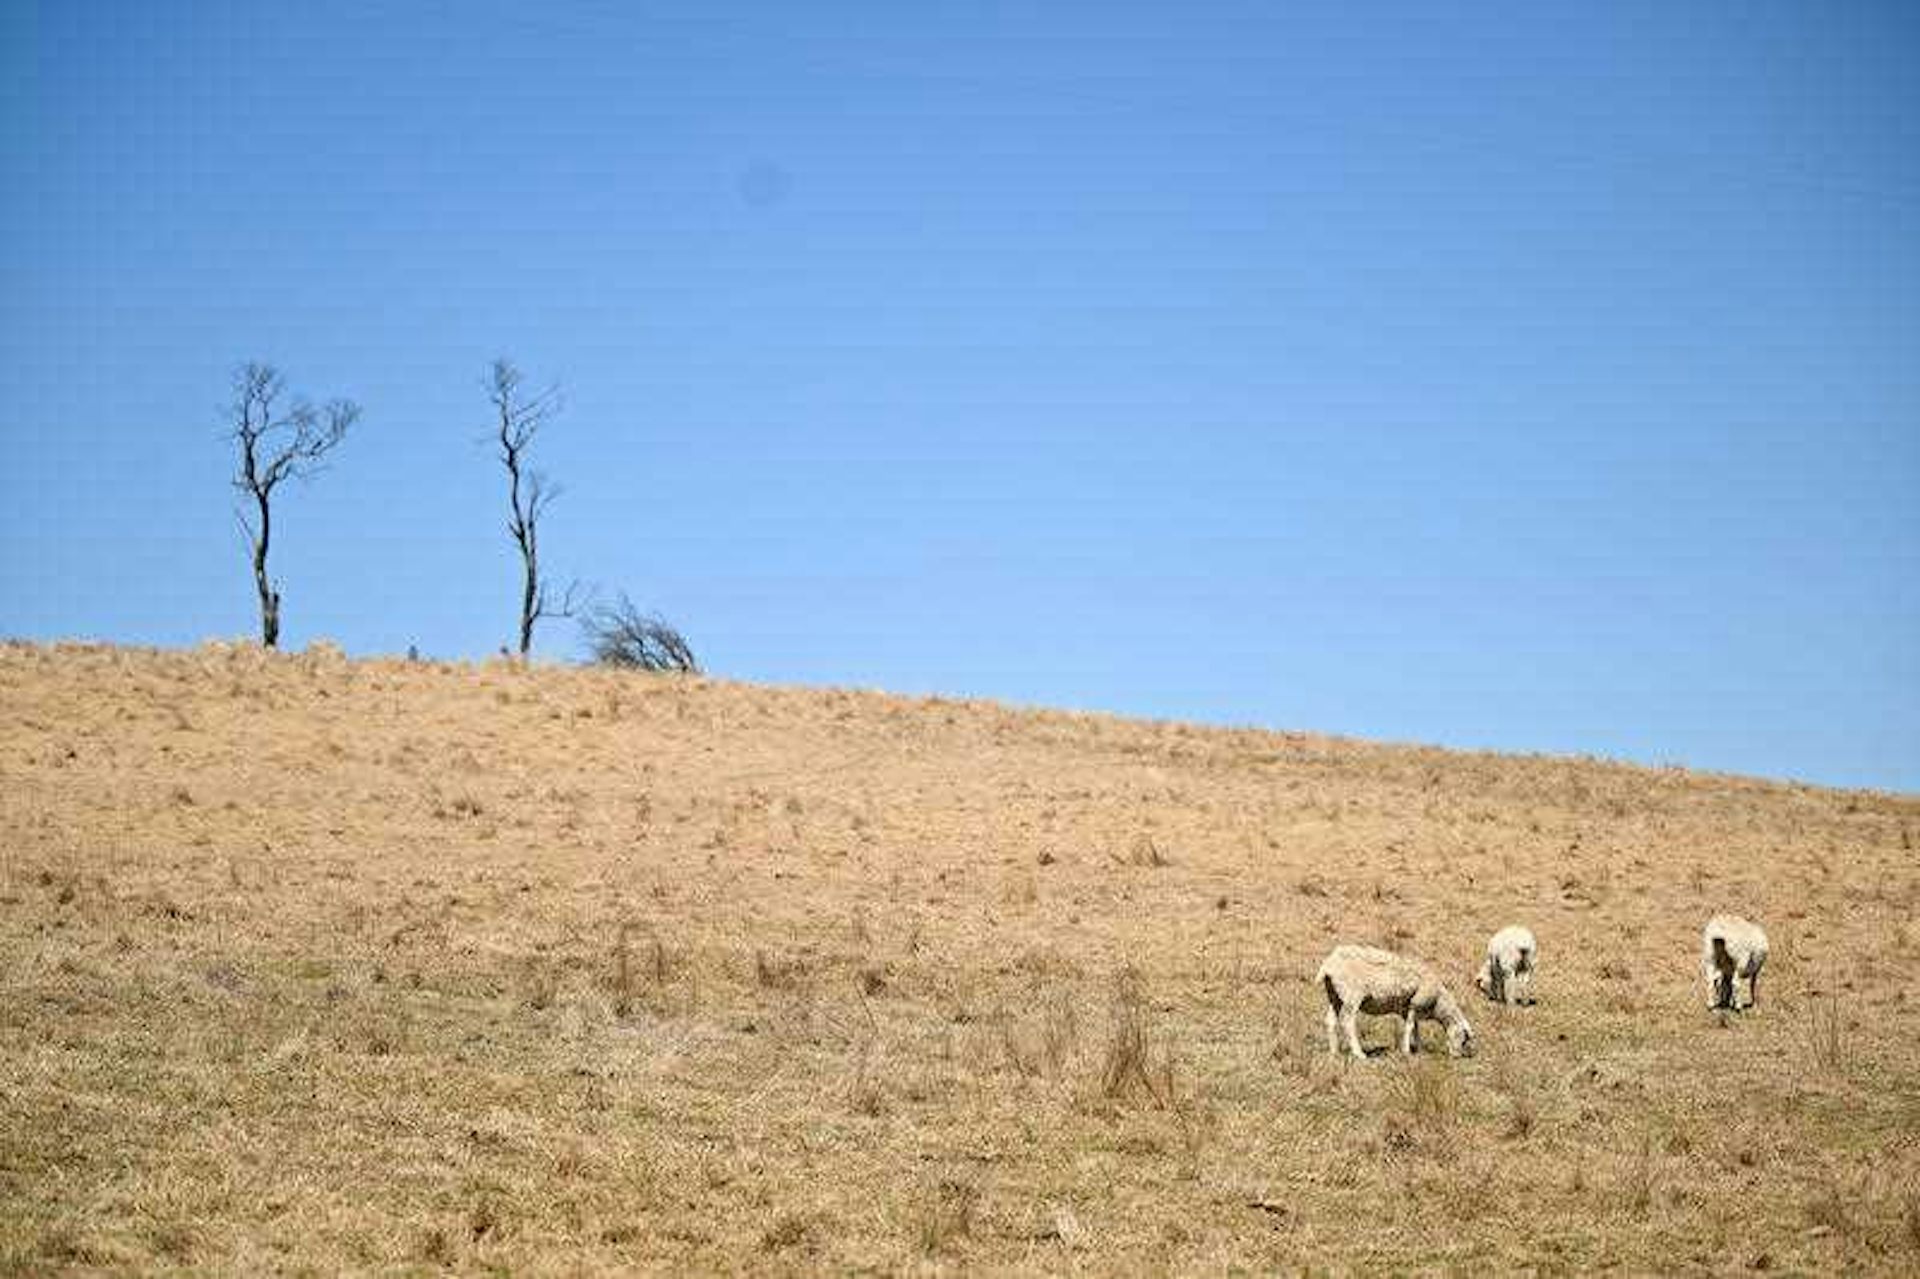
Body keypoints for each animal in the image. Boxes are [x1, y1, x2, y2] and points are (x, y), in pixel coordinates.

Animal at [1316, 944, 1475, 1060]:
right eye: (1463, 1038)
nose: (1457, 1056)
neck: (1438, 1002)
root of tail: (1329, 963)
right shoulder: (1416, 1003)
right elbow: (1410, 1027)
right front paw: (1407, 1051)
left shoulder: (1407, 1009)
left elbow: (1415, 1027)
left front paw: (1418, 1048)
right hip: (1352, 996)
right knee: (1347, 1022)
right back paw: (1359, 1053)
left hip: (1334, 995)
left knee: (1330, 1020)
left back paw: (1334, 1051)